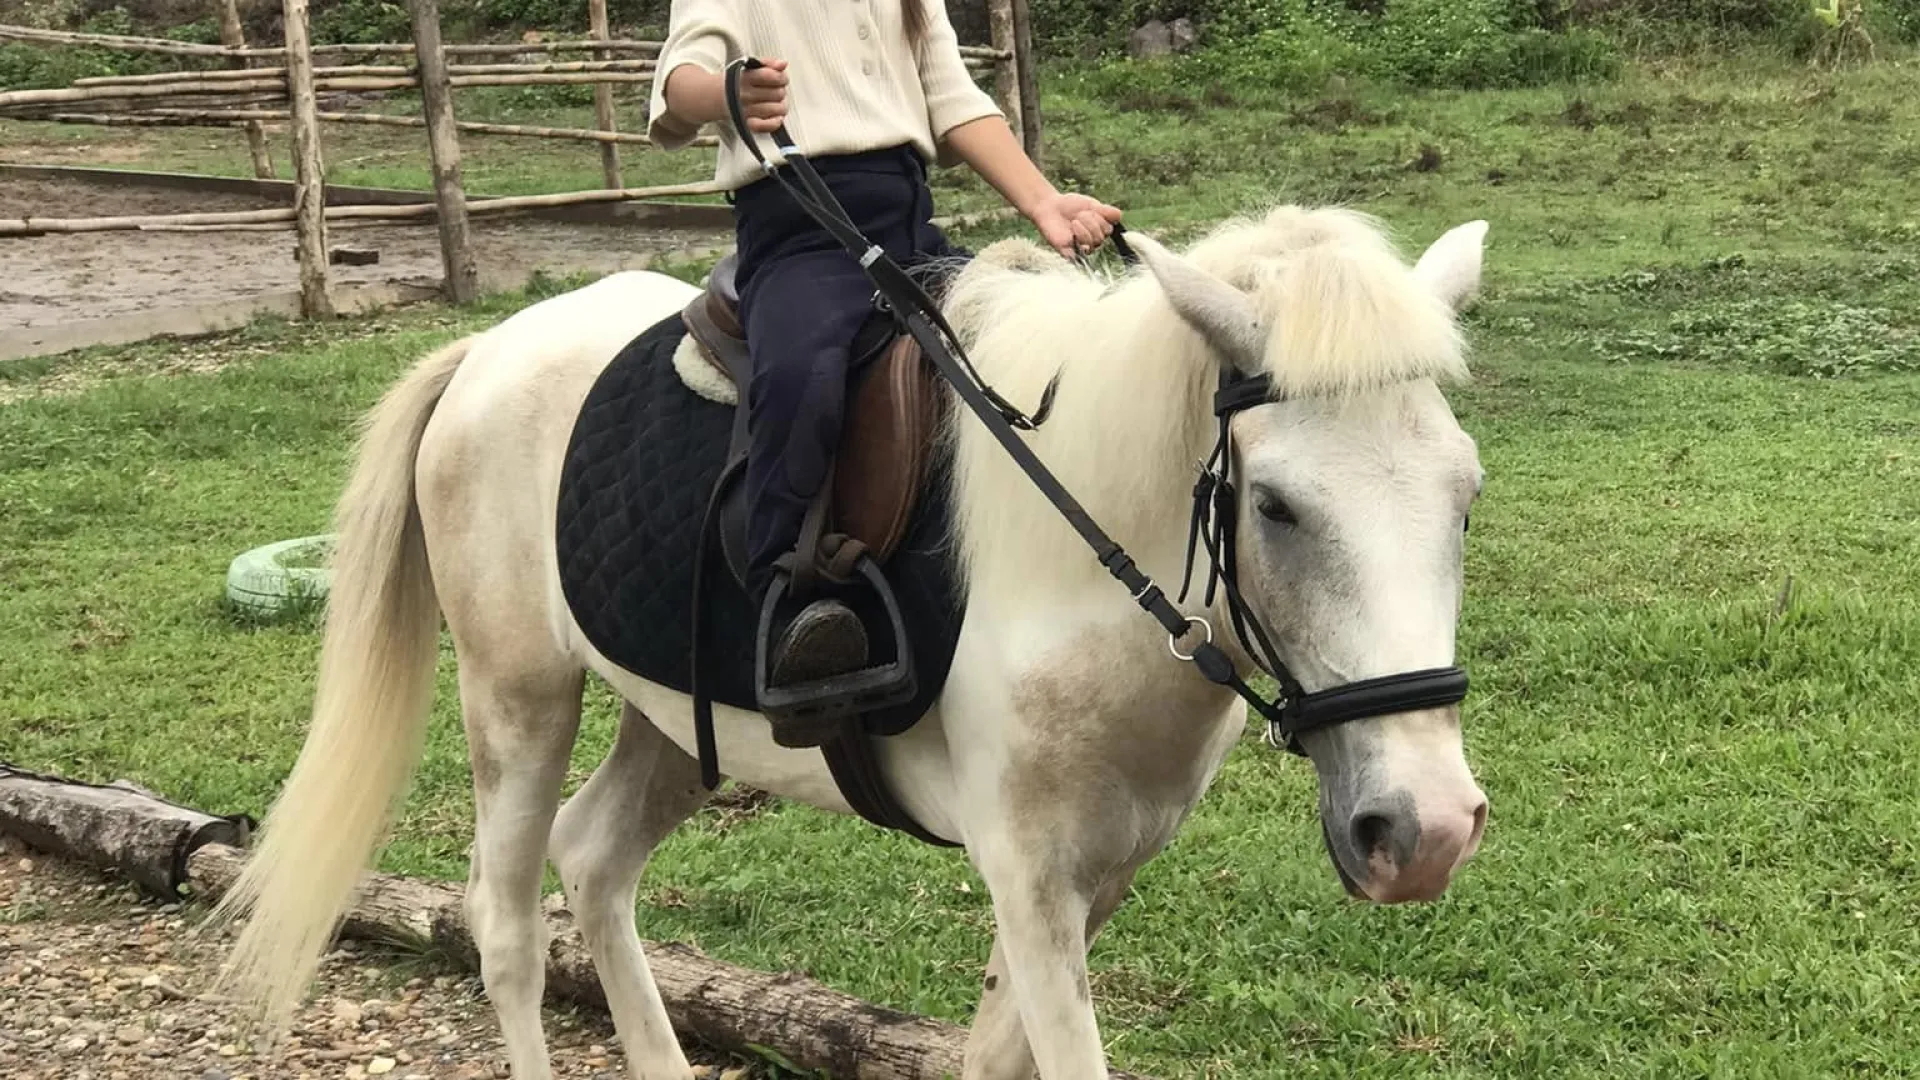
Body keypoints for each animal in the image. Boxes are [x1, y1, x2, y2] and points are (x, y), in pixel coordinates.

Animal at [208, 203, 1493, 1080]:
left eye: (1466, 493)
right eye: (1274, 506)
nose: (1422, 831)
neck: (1077, 561)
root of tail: (486, 351)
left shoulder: (1102, 872)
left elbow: (996, 1057)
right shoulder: (1029, 876)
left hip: (674, 719)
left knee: (596, 858)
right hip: (517, 696)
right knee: (509, 922)